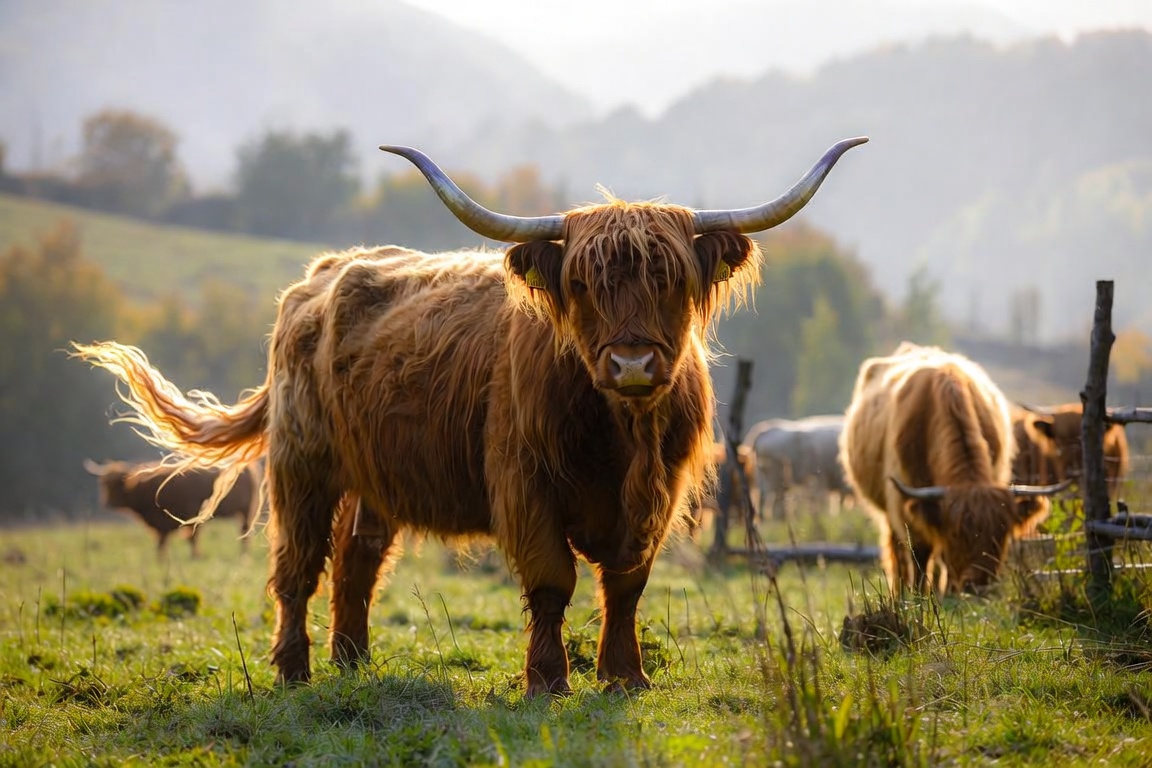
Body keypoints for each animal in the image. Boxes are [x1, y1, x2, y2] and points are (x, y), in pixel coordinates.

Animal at [83, 459, 261, 558]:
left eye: (117, 484)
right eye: (104, 484)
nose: (107, 503)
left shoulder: (188, 514)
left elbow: (190, 538)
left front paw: (194, 556)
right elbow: (163, 542)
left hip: (246, 511)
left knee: (244, 533)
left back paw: (244, 555)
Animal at [839, 343, 1067, 595]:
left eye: (1002, 532)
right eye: (957, 533)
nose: (978, 585)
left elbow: (944, 562)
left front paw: (949, 595)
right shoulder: (905, 507)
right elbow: (919, 556)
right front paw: (918, 597)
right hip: (887, 511)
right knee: (898, 553)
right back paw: (899, 594)